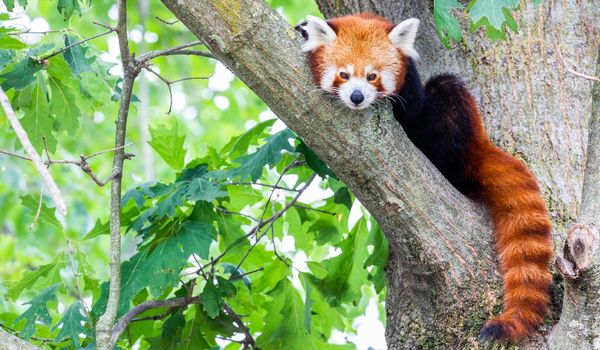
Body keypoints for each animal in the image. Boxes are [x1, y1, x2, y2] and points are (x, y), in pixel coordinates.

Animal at [296, 13, 552, 342]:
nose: (357, 97)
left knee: (447, 89)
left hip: (457, 129)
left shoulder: (412, 92)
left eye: (372, 76)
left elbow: (413, 109)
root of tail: (478, 145)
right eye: (343, 74)